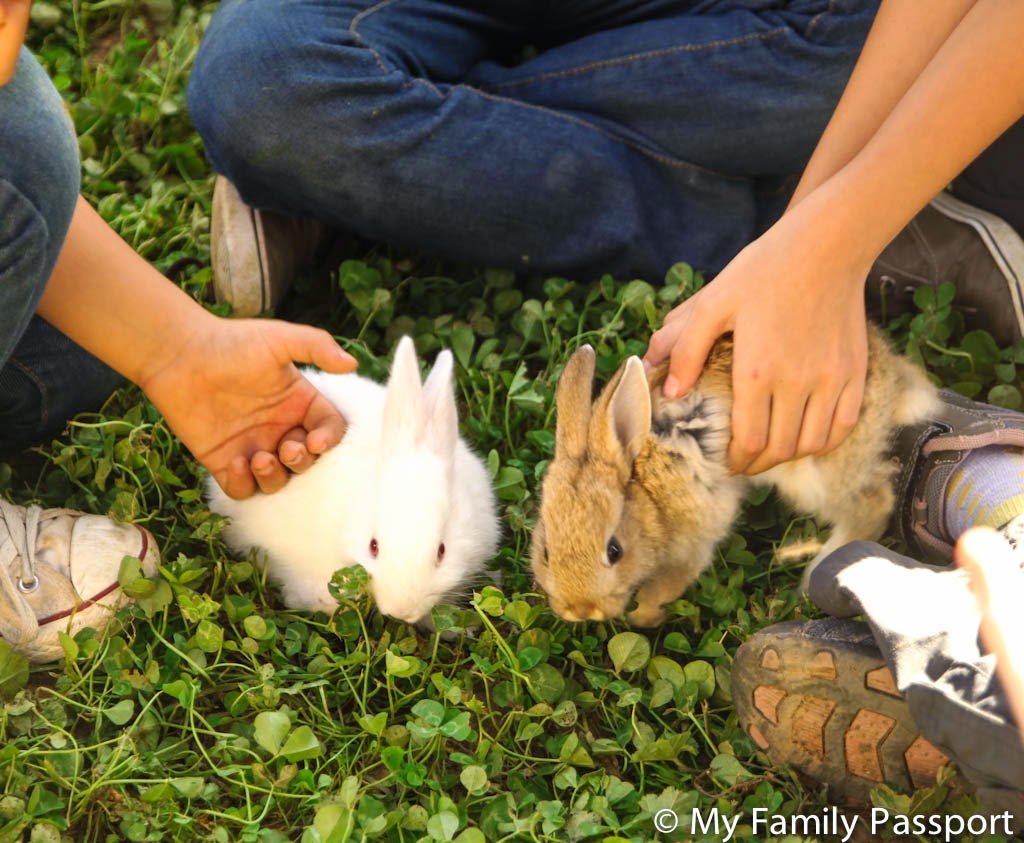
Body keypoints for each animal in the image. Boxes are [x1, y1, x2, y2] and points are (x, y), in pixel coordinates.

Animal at [532, 325, 937, 630]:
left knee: (873, 505)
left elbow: (669, 584)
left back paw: (811, 583)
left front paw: (644, 617)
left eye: (614, 551)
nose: (580, 610)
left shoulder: (693, 542)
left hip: (815, 471)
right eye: (546, 553)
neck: (647, 494)